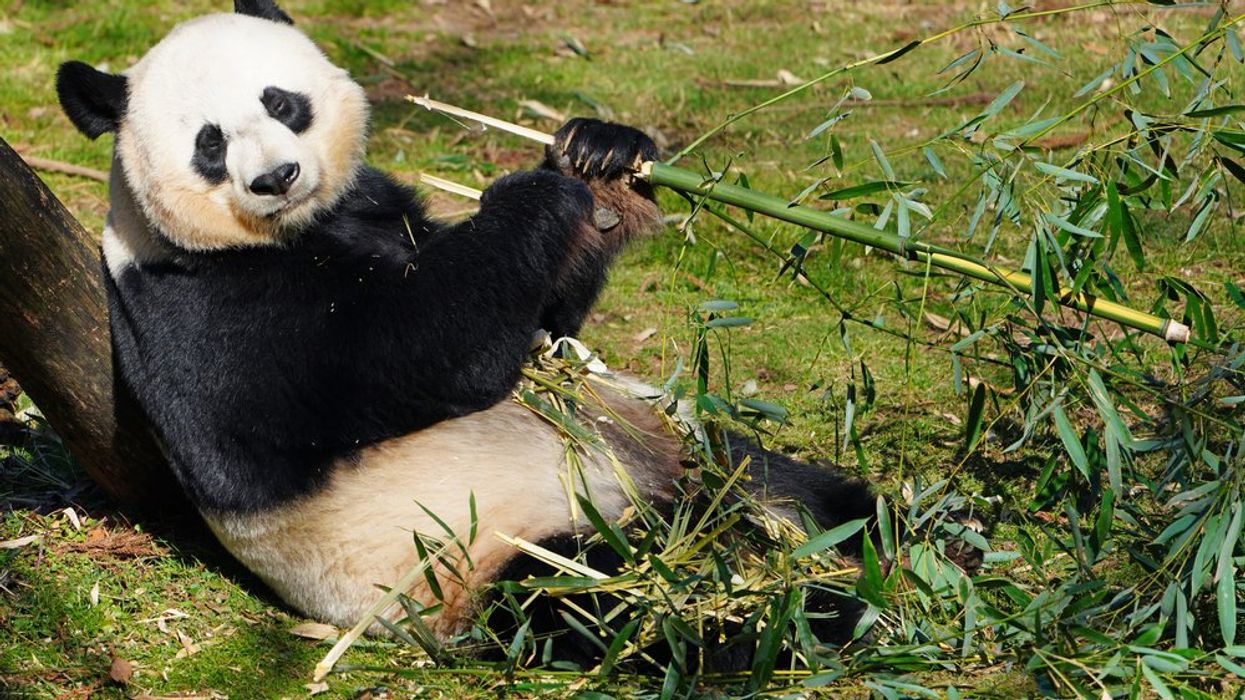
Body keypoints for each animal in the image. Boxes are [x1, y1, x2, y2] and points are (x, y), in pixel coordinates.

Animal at [55, 0, 877, 661]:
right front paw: (533, 190)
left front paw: (599, 155)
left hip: (686, 444)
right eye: (210, 142)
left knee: (794, 487)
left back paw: (873, 545)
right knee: (617, 600)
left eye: (282, 102)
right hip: (497, 550)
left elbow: (544, 322)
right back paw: (793, 614)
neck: (291, 231)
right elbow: (437, 351)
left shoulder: (380, 205)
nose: (276, 178)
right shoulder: (212, 311)